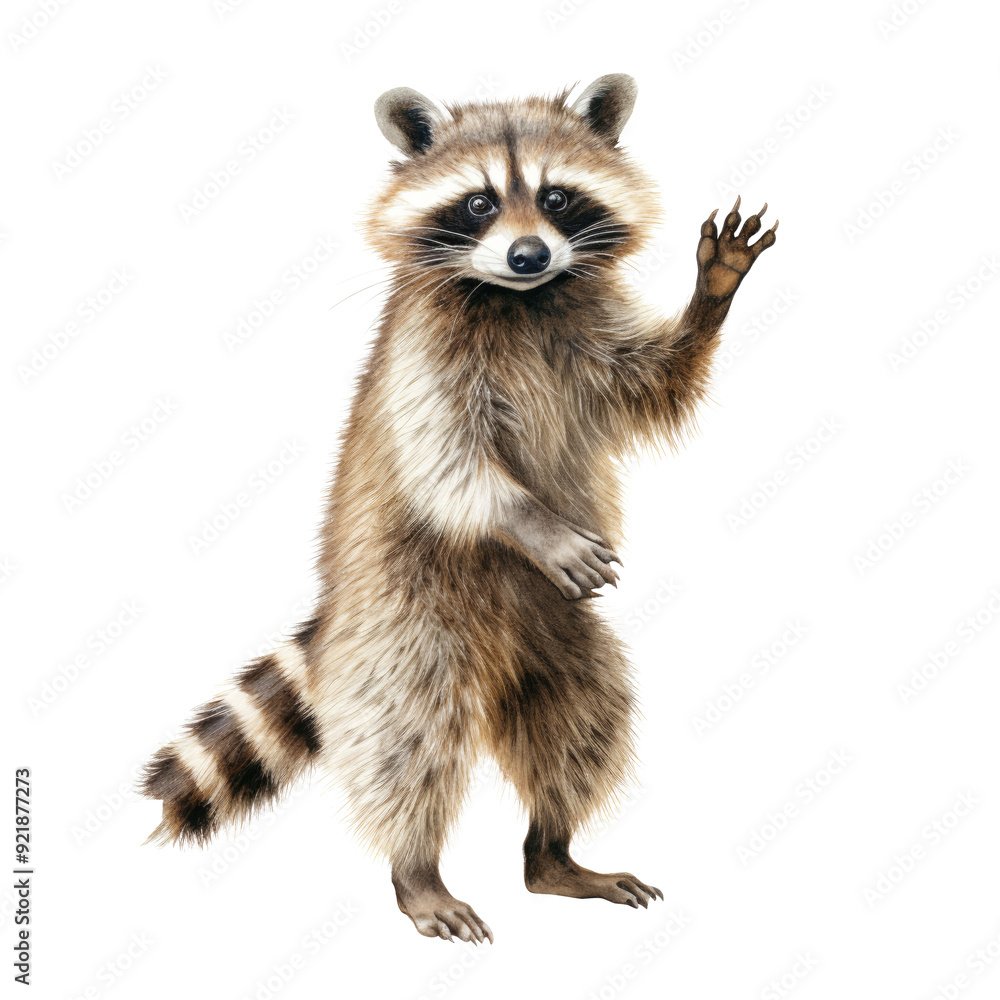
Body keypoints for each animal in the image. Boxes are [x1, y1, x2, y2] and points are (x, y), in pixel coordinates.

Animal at [140, 74, 777, 944]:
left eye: (555, 197)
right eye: (478, 203)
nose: (528, 254)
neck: (524, 299)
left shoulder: (591, 333)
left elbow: (653, 380)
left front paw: (710, 296)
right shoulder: (423, 358)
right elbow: (452, 465)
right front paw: (533, 525)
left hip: (558, 633)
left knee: (583, 716)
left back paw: (552, 854)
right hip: (409, 616)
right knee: (407, 736)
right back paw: (417, 870)